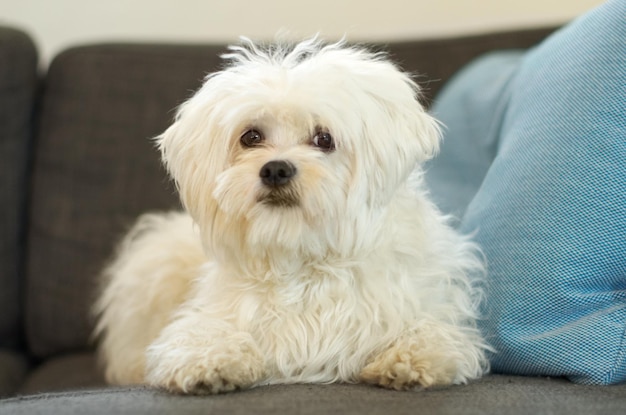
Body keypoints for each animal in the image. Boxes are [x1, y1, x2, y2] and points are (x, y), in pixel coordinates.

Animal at [95, 37, 490, 394]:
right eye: (251, 136)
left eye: (324, 138)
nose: (275, 170)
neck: (302, 256)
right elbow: (200, 335)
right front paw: (209, 361)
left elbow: (429, 333)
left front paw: (409, 358)